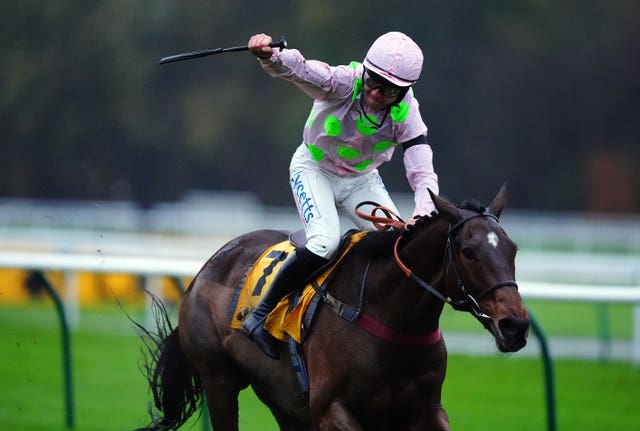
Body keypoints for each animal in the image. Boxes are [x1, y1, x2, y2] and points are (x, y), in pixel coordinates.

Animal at [132, 186, 528, 431]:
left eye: (513, 249)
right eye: (469, 252)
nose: (516, 326)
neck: (392, 318)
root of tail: (205, 268)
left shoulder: (426, 410)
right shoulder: (330, 409)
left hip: (282, 400)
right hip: (219, 381)